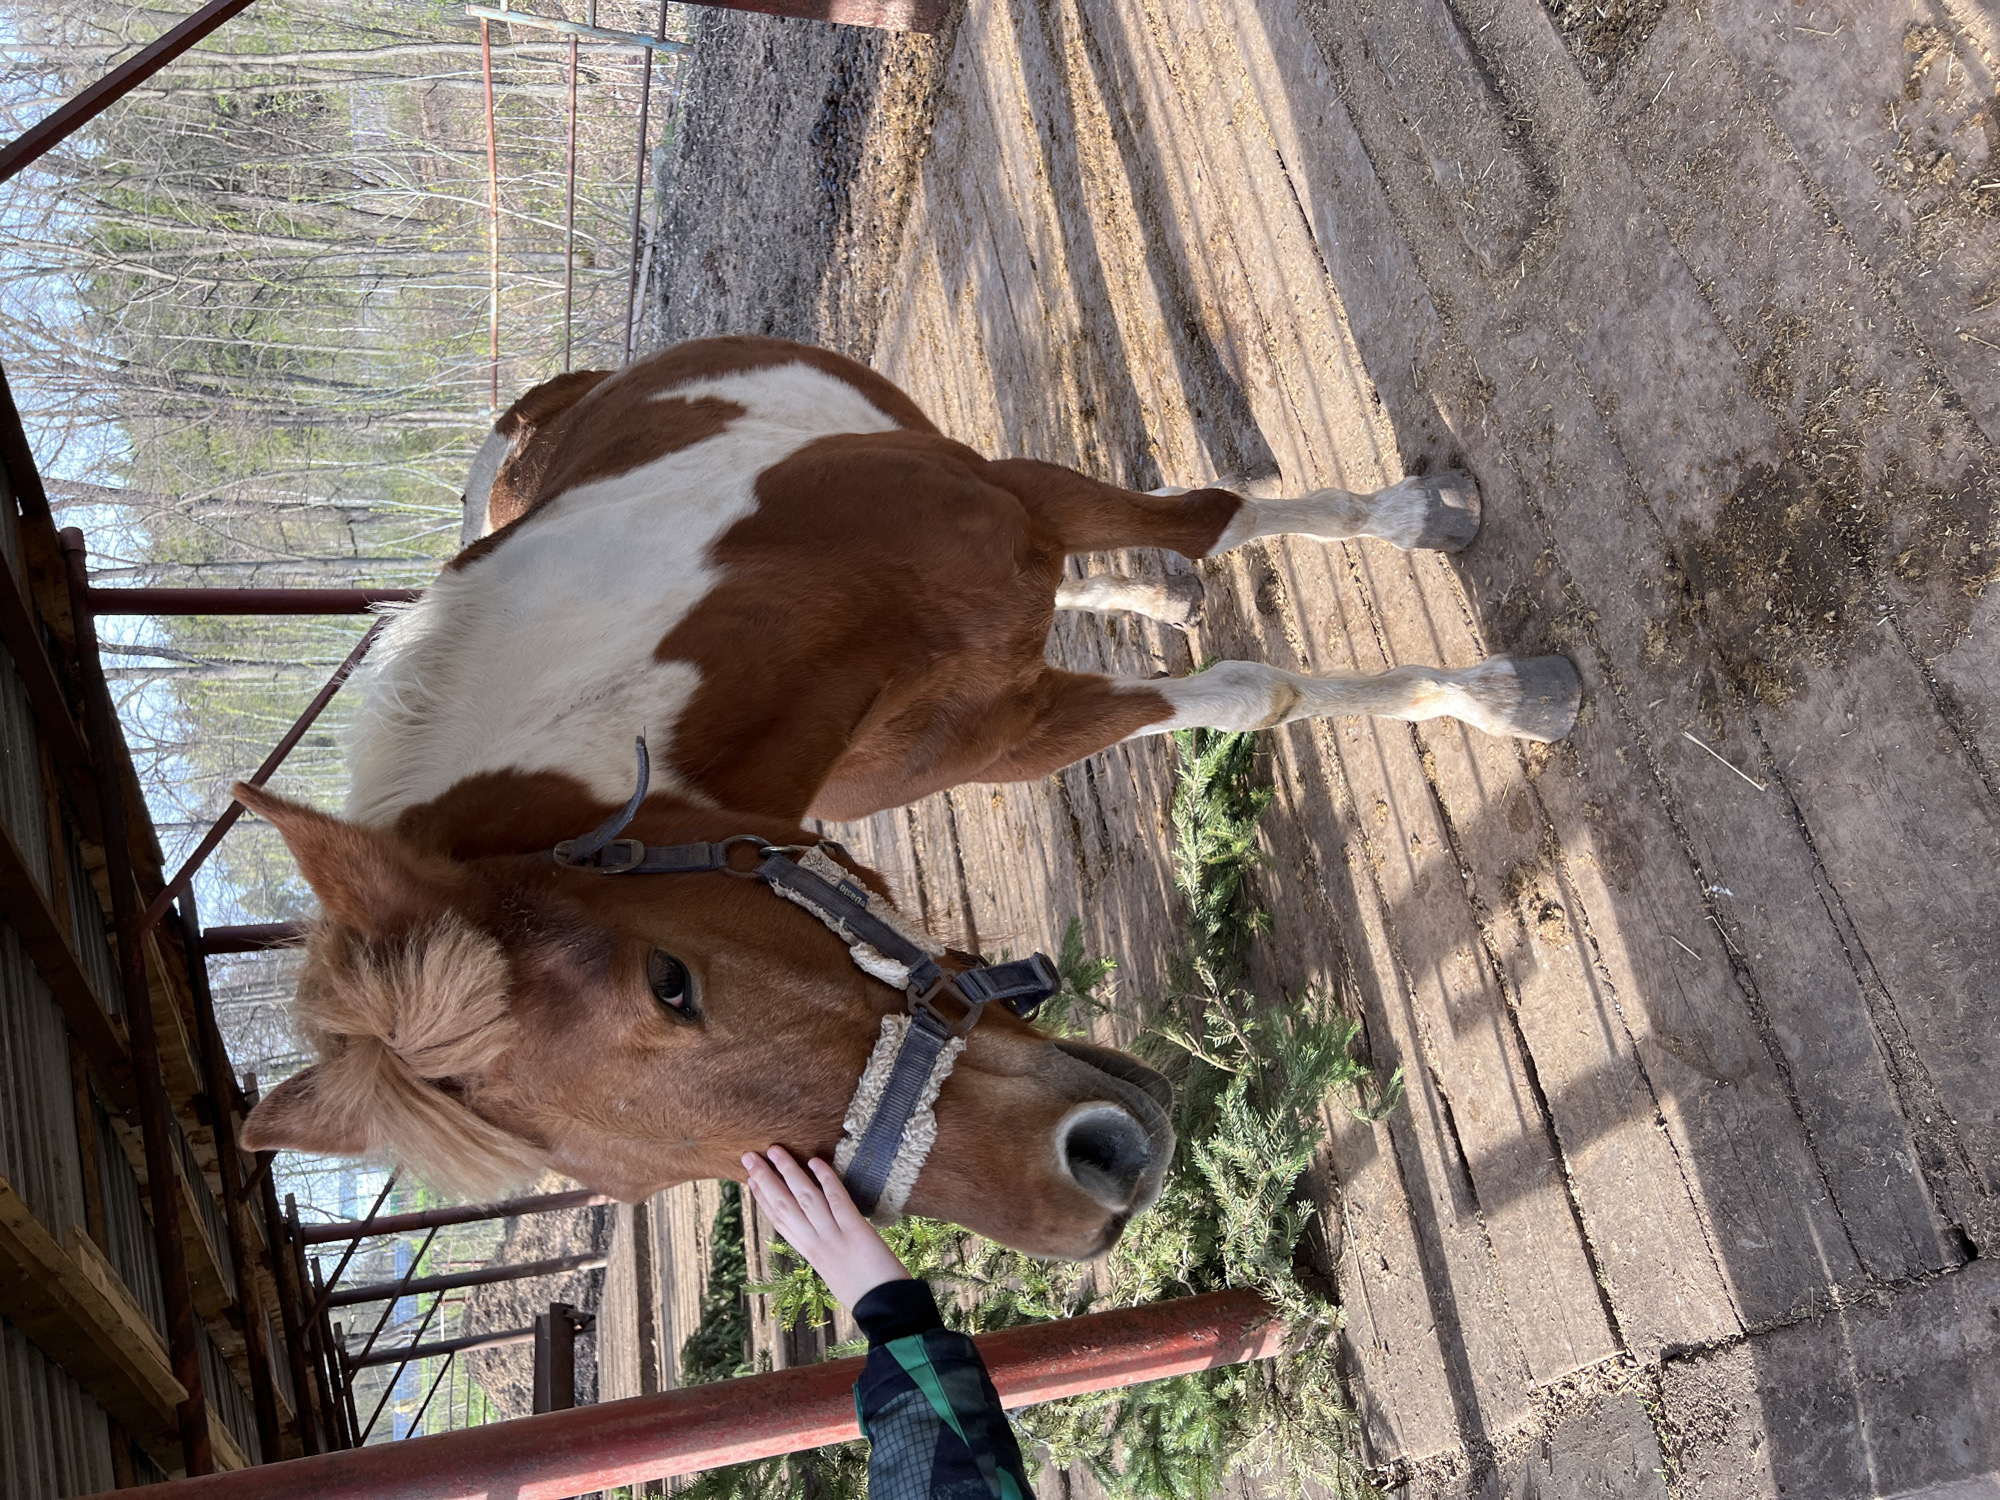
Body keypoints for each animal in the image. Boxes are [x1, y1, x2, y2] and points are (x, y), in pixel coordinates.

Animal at [237, 336, 1577, 1260]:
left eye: (668, 982)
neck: (779, 594)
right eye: (642, 1185)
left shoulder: (1024, 500)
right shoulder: (1010, 733)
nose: (1095, 1180)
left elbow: (1220, 543)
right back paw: (1162, 602)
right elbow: (1239, 683)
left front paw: (1497, 676)